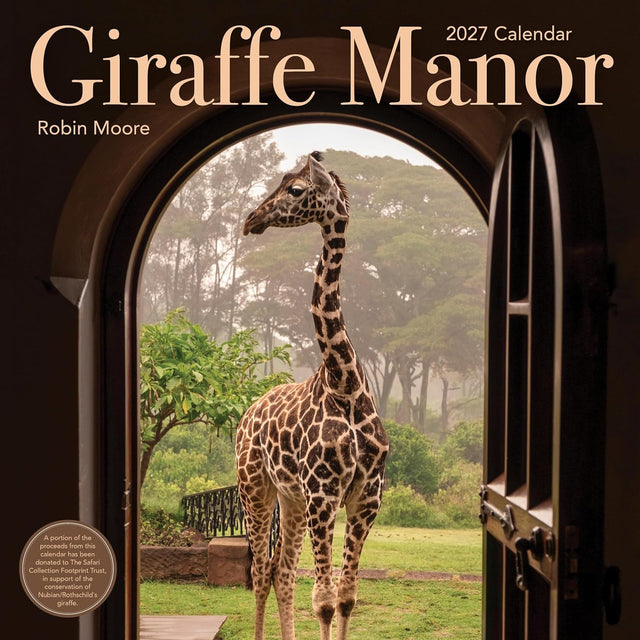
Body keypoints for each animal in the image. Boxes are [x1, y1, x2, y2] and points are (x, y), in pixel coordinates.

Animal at [235, 152, 388, 640]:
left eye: (296, 190)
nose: (252, 219)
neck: (346, 385)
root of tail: (248, 412)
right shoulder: (324, 492)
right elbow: (322, 600)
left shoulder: (364, 498)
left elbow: (345, 597)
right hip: (255, 486)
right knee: (260, 570)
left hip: (293, 499)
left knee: (281, 570)